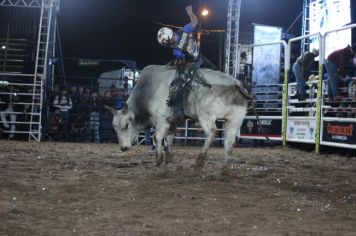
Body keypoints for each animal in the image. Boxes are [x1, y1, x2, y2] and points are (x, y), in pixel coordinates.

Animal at [107, 64, 249, 168]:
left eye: (126, 125)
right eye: (115, 128)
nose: (123, 148)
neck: (149, 91)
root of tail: (235, 83)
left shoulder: (162, 119)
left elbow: (157, 136)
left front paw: (159, 158)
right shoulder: (173, 120)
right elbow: (169, 136)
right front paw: (168, 157)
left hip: (206, 116)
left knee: (212, 132)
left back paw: (200, 160)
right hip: (235, 119)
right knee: (229, 141)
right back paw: (225, 167)